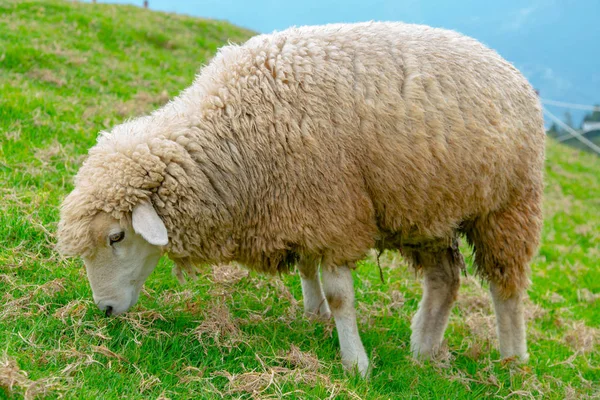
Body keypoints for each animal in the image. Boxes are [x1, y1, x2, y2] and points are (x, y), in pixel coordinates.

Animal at [58, 22, 548, 378]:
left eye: (117, 236)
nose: (105, 310)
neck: (234, 133)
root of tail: (512, 70)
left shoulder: (334, 209)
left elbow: (340, 296)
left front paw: (355, 363)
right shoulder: (301, 206)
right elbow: (308, 271)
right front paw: (313, 318)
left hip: (507, 206)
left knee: (506, 287)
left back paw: (512, 360)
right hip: (426, 209)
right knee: (445, 280)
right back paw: (423, 351)